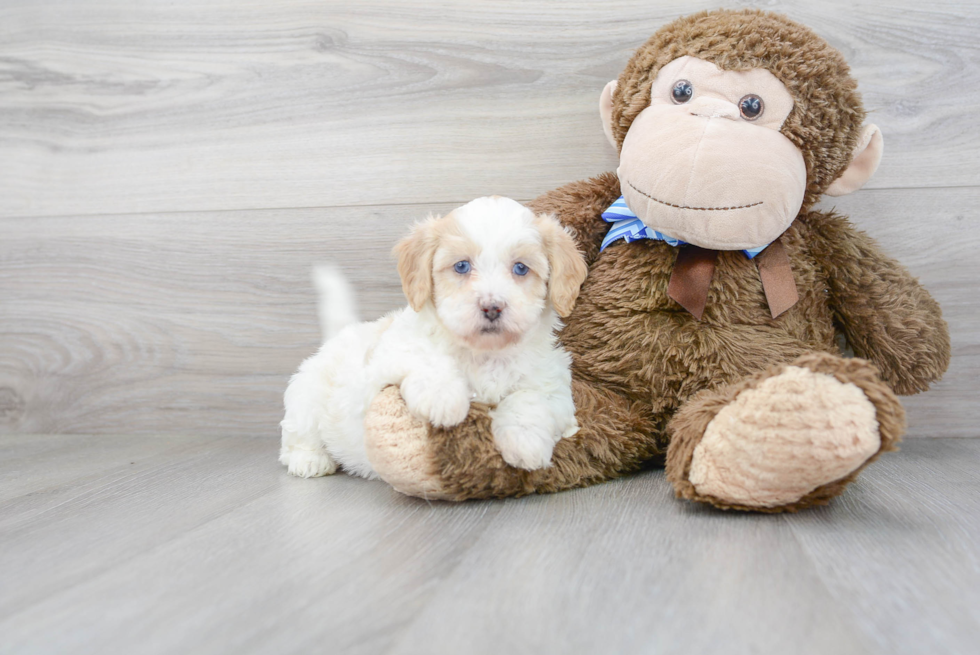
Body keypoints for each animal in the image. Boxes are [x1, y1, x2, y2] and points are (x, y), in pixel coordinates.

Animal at [280, 197, 592, 480]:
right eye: (462, 266)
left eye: (521, 268)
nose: (492, 307)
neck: (484, 354)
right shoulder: (384, 361)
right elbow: (426, 358)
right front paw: (443, 398)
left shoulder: (554, 387)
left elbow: (530, 399)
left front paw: (525, 442)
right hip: (307, 395)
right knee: (297, 434)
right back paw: (310, 460)